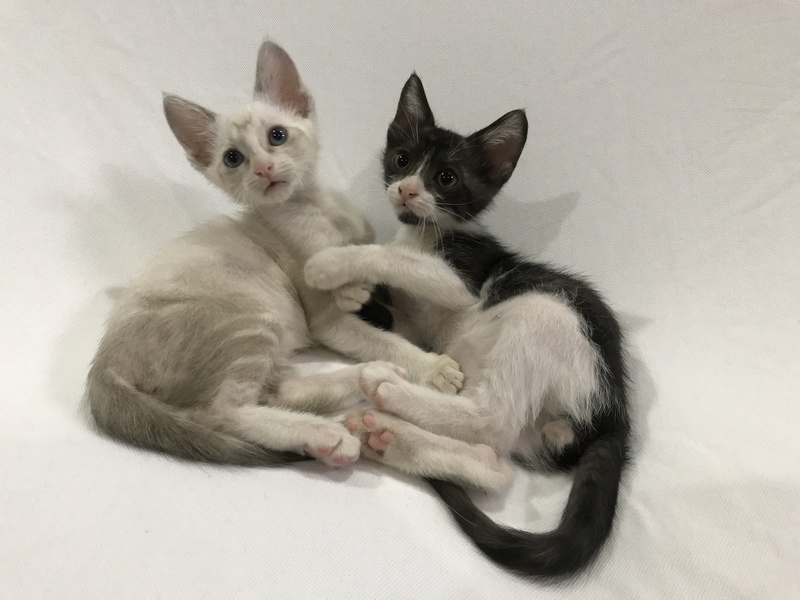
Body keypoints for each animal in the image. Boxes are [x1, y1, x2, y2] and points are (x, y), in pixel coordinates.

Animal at [86, 42, 464, 469]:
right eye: (233, 158)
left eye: (277, 135)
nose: (264, 169)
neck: (317, 210)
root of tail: (103, 364)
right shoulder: (327, 322)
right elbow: (381, 336)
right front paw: (433, 367)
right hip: (251, 318)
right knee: (220, 412)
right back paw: (325, 433)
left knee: (273, 392)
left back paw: (370, 377)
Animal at [303, 73, 631, 579]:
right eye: (402, 159)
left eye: (446, 178)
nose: (407, 190)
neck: (424, 231)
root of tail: (615, 415)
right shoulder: (412, 323)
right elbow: (397, 310)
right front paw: (353, 294)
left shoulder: (463, 280)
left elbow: (396, 257)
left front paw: (333, 264)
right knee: (494, 463)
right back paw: (390, 439)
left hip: (548, 316)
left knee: (489, 419)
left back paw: (388, 391)